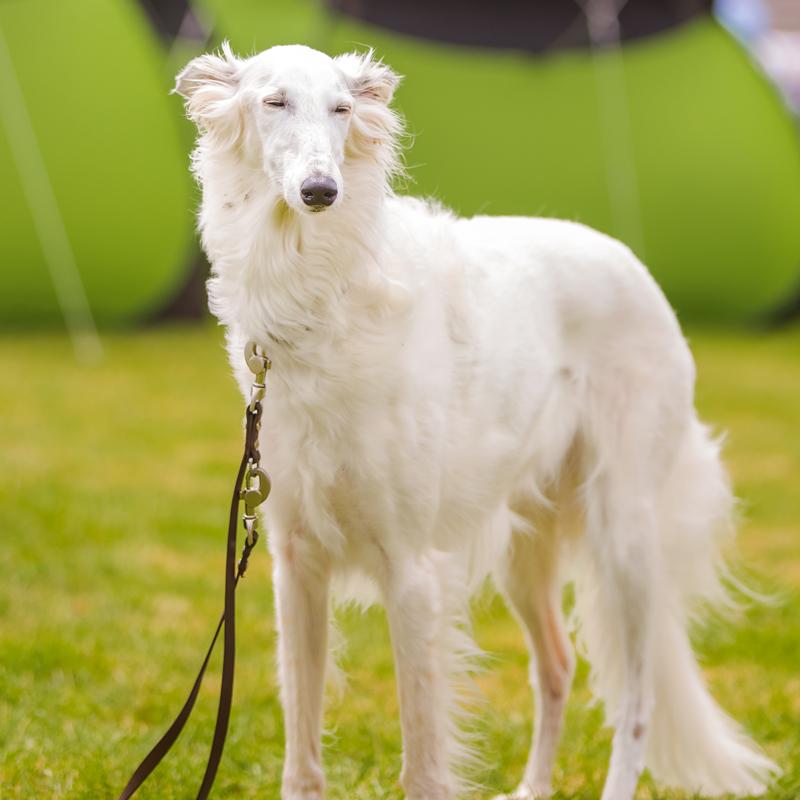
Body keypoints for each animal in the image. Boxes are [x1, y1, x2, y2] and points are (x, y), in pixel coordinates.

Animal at [173, 45, 776, 800]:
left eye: (341, 108)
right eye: (273, 101)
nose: (320, 191)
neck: (324, 297)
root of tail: (631, 263)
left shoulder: (411, 570)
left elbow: (423, 764)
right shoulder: (297, 564)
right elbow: (302, 757)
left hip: (625, 534)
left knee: (636, 703)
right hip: (527, 542)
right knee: (557, 664)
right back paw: (533, 788)